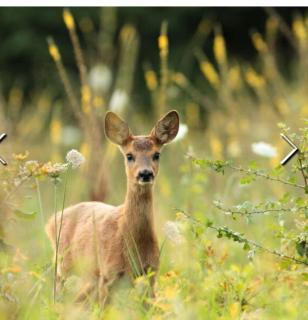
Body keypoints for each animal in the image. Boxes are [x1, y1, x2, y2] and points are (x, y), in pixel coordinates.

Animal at [45, 110, 180, 304]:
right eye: (129, 155)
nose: (145, 173)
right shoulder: (109, 275)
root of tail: (51, 221)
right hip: (64, 265)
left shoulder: (151, 275)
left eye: (156, 154)